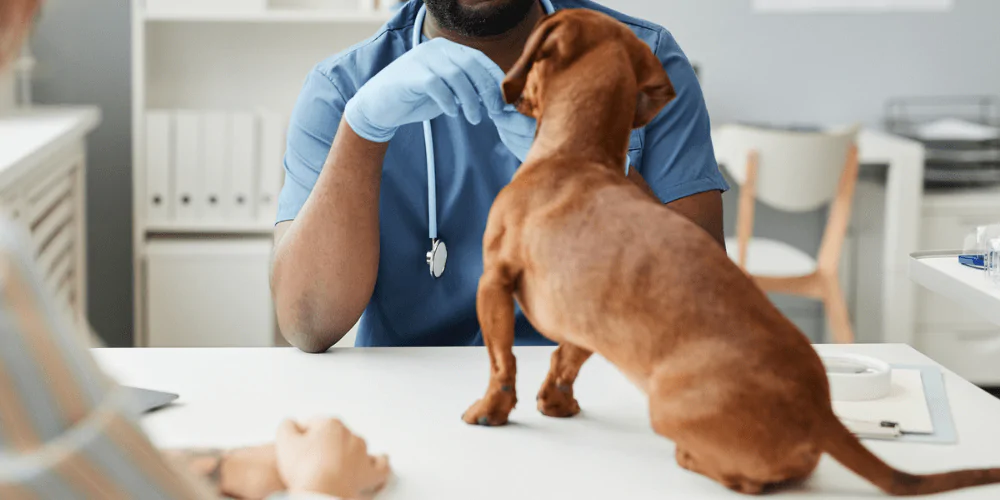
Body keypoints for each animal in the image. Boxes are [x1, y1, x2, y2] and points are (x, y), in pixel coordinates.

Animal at [460, 7, 1000, 496]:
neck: (578, 154)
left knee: (750, 482)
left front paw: (490, 412)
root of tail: (821, 414)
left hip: (666, 406)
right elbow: (563, 363)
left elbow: (501, 363)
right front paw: (557, 404)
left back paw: (693, 458)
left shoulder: (494, 282)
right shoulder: (583, 324)